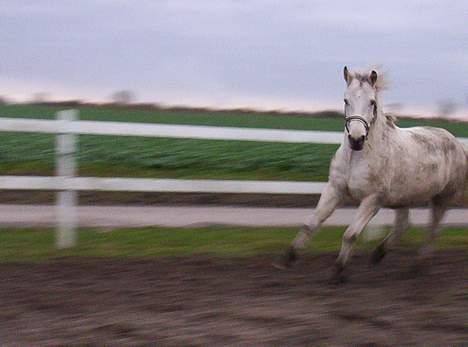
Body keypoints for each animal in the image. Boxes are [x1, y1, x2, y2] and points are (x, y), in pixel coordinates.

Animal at [274, 66, 468, 284]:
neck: (356, 158)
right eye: (345, 100)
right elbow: (310, 224)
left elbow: (350, 234)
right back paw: (378, 255)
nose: (356, 139)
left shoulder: (372, 200)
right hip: (403, 199)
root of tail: (458, 144)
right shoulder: (334, 190)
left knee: (433, 230)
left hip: (441, 199)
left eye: (372, 102)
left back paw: (417, 266)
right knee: (404, 225)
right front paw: (286, 260)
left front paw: (338, 272)